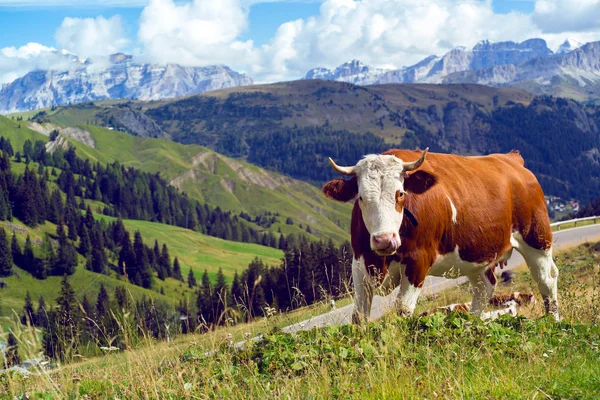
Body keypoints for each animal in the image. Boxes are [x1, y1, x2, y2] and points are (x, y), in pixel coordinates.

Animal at [322, 148, 560, 324]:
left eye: (400, 194)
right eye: (361, 197)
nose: (384, 240)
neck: (381, 260)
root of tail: (511, 158)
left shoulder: (418, 261)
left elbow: (403, 309)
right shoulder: (359, 263)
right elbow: (359, 316)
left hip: (537, 240)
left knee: (547, 280)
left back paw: (553, 321)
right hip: (476, 257)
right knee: (484, 288)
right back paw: (472, 325)